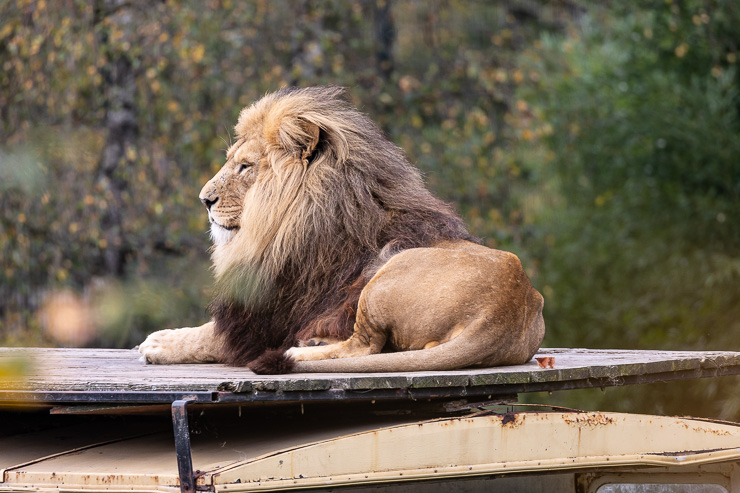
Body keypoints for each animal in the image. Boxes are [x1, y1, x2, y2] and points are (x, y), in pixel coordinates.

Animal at [137, 86, 544, 370]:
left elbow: (205, 336)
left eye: (245, 166)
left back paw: (299, 352)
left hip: (384, 279)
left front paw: (157, 343)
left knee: (364, 346)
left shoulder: (266, 321)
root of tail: (501, 313)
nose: (204, 200)